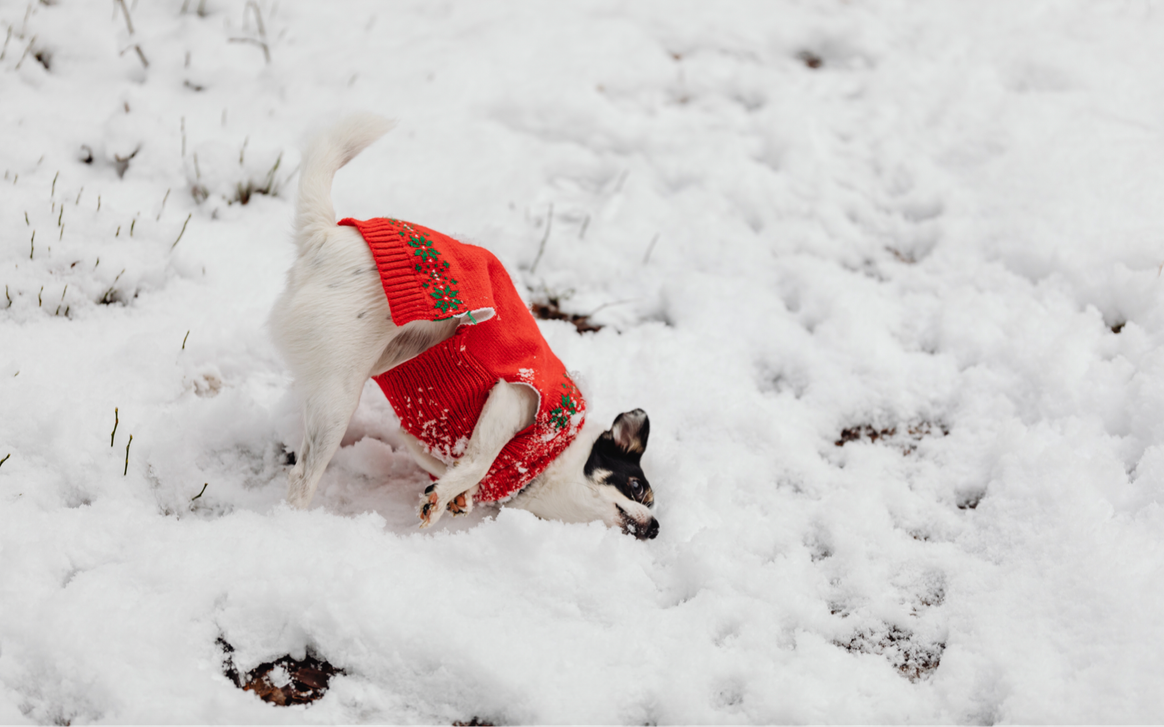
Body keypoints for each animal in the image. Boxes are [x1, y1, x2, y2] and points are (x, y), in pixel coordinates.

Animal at [267, 114, 661, 539]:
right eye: (637, 487)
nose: (657, 527)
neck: (550, 456)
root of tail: (326, 237)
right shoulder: (516, 395)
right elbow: (480, 460)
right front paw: (445, 495)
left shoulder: (420, 436)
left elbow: (462, 466)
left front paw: (460, 496)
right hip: (338, 396)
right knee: (302, 478)